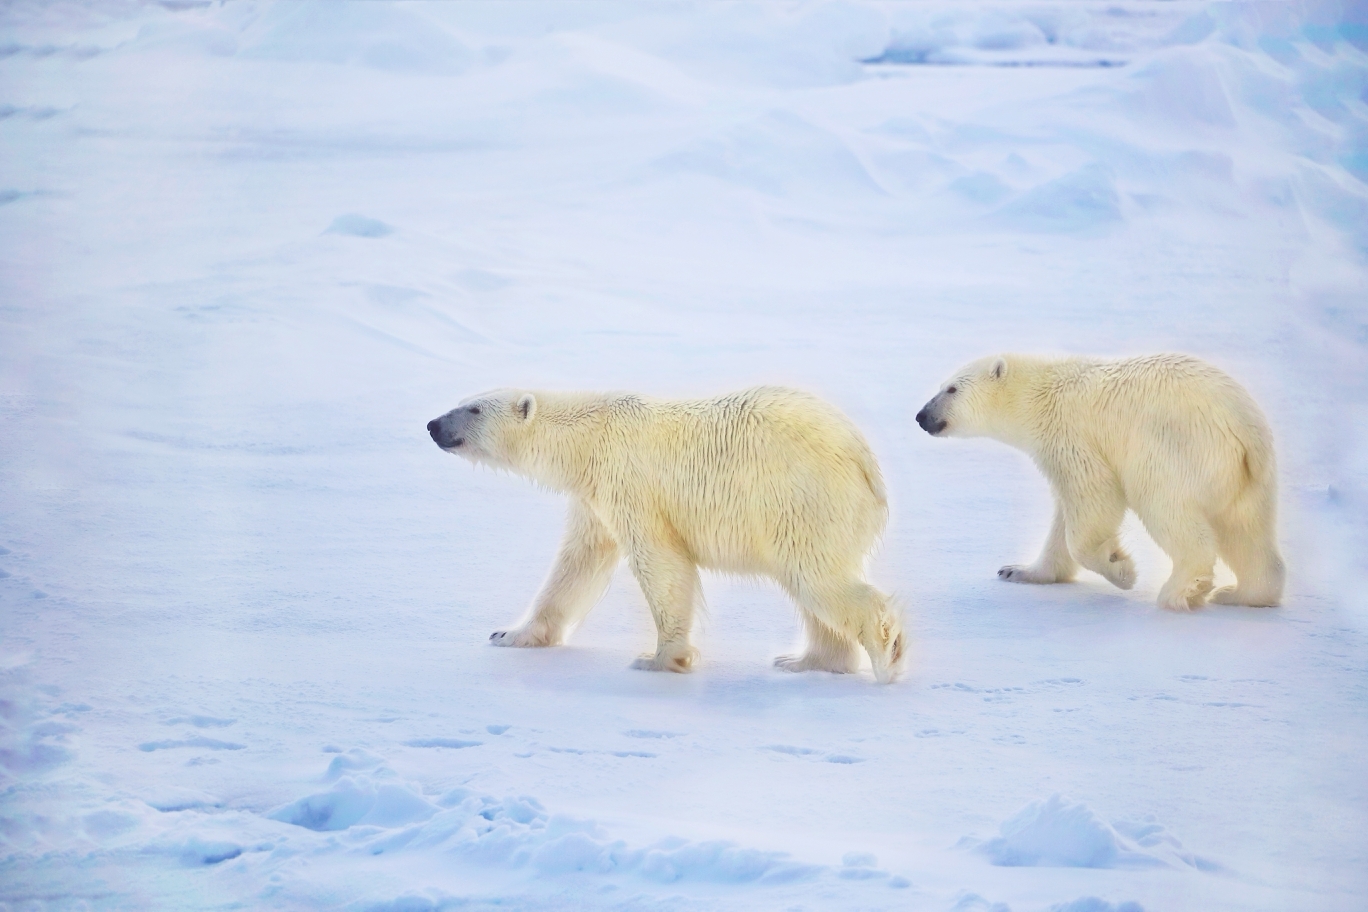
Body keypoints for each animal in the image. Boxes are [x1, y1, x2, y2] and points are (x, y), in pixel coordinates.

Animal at [421, 388, 902, 683]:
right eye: (463, 401)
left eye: (474, 409)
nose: (433, 425)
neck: (589, 436)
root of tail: (865, 462)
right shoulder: (593, 497)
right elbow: (577, 565)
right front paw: (509, 635)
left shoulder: (629, 481)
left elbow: (660, 561)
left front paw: (659, 658)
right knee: (811, 587)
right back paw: (805, 661)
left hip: (801, 498)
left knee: (817, 578)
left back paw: (886, 652)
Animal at [919, 352, 1280, 609]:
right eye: (941, 386)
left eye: (951, 389)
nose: (921, 416)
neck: (1039, 395)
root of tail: (1242, 421)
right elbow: (1064, 517)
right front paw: (1018, 570)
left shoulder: (1071, 435)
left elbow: (1095, 499)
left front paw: (1120, 568)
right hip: (1245, 474)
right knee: (1245, 530)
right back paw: (1242, 593)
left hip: (1174, 450)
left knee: (1167, 508)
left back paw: (1180, 591)